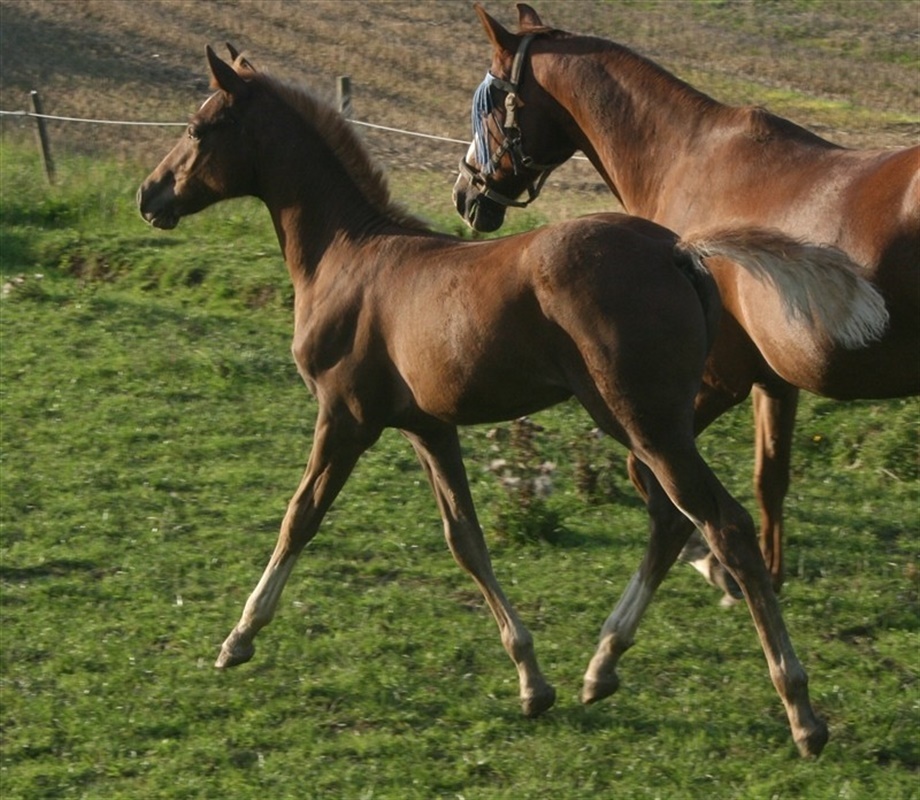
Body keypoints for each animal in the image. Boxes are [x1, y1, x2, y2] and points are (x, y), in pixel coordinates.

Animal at [138, 45, 837, 756]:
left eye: (197, 129)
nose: (149, 195)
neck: (347, 255)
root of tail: (677, 251)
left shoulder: (345, 416)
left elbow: (300, 516)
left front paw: (238, 638)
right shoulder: (428, 427)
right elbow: (465, 538)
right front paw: (532, 680)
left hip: (647, 421)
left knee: (724, 526)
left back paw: (801, 711)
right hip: (642, 422)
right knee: (672, 519)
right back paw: (601, 668)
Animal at [453, 3, 916, 599]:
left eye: (487, 103)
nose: (465, 194)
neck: (689, 162)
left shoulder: (714, 383)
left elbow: (650, 478)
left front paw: (713, 563)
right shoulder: (772, 382)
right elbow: (770, 480)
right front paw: (763, 576)